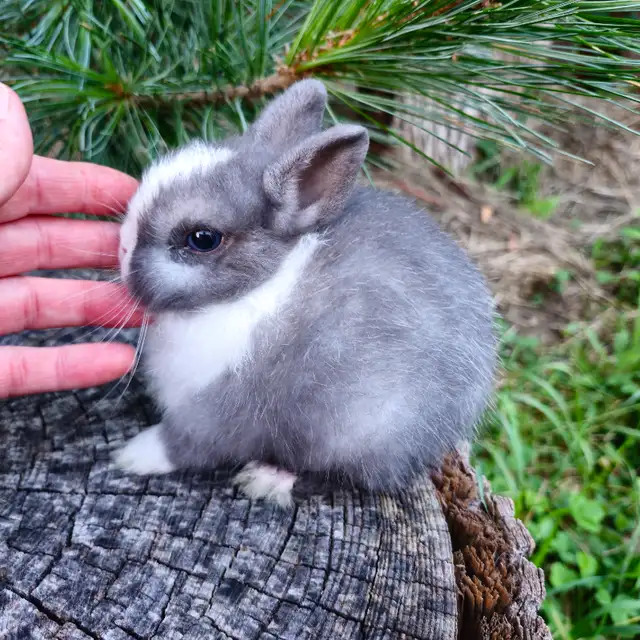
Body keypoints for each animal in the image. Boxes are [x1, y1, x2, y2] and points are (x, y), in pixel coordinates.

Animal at [114, 79, 498, 507]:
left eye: (202, 238)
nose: (122, 249)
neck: (253, 290)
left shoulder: (219, 411)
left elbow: (184, 443)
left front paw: (131, 456)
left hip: (361, 431)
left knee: (338, 477)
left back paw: (267, 479)